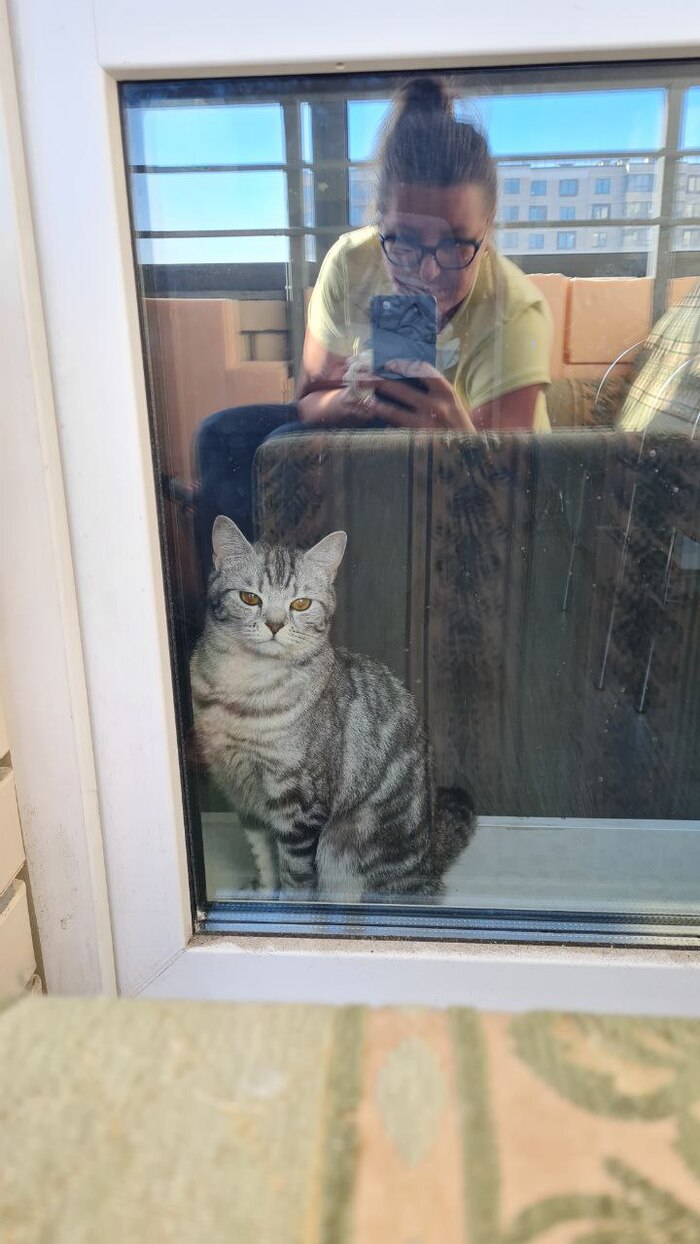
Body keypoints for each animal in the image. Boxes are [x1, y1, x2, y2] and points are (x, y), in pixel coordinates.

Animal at [190, 516, 475, 900]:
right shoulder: (245, 799)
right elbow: (264, 860)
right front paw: (263, 894)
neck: (241, 690)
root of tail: (431, 858)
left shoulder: (298, 805)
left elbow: (295, 877)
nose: (275, 624)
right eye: (249, 598)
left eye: (300, 604)